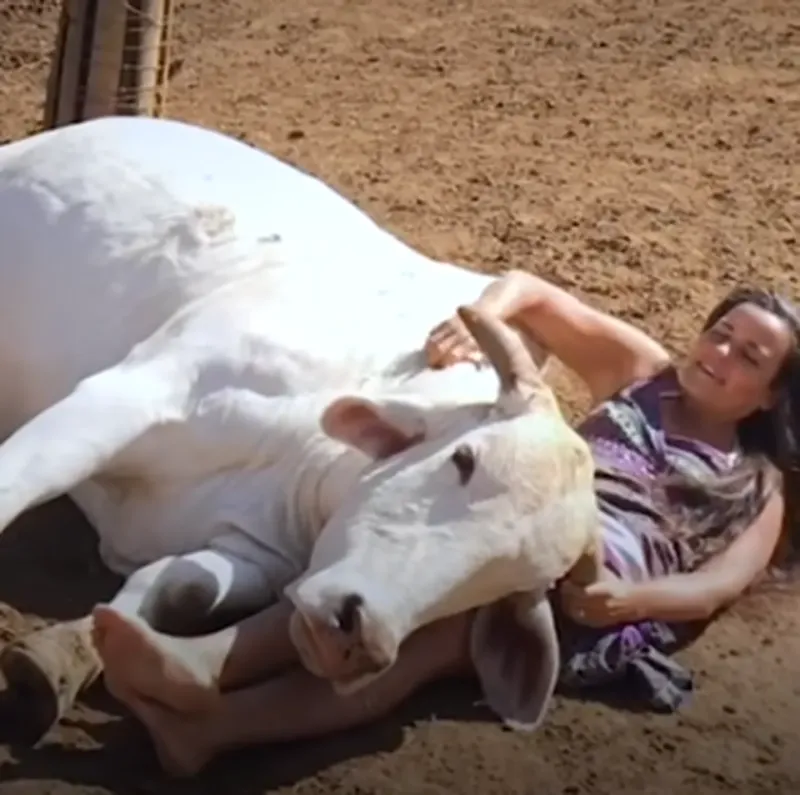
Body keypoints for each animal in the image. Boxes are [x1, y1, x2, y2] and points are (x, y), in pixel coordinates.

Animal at [0, 116, 600, 748]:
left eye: (509, 582)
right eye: (464, 459)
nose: (355, 636)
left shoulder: (250, 553)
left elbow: (173, 584)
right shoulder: (131, 394)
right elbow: (14, 486)